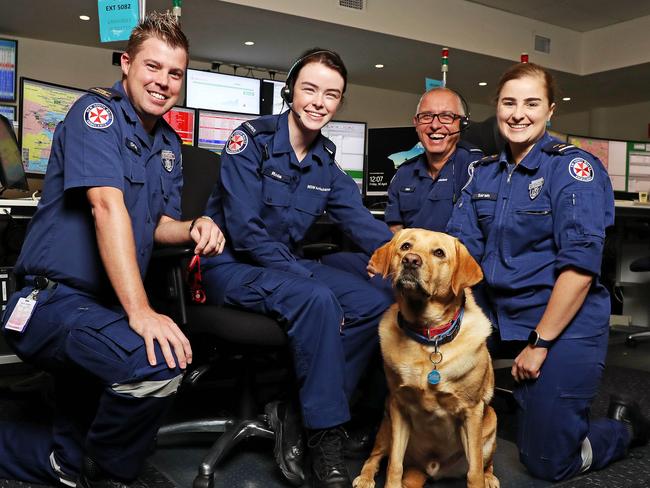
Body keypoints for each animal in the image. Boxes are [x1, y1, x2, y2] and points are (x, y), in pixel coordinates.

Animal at [354, 229, 496, 488]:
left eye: (439, 253)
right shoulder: (398, 406)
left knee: (485, 463)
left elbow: (475, 471)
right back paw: (366, 477)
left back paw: (490, 476)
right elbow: (394, 465)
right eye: (405, 246)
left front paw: (482, 478)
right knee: (376, 456)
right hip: (386, 424)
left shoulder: (472, 413)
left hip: (491, 421)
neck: (429, 336)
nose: (410, 260)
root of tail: (431, 470)